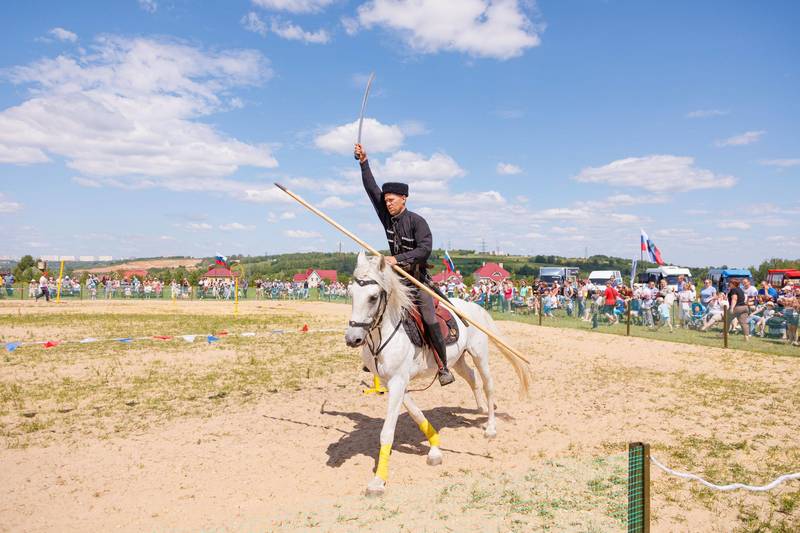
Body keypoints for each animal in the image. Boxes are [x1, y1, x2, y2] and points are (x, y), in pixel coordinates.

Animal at [344, 252, 532, 494]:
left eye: (373, 297)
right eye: (351, 294)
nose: (352, 338)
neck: (386, 333)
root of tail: (474, 307)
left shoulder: (397, 382)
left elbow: (387, 432)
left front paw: (378, 481)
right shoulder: (392, 382)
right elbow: (416, 414)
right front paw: (434, 448)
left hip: (480, 354)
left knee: (488, 384)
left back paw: (490, 427)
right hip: (457, 360)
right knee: (472, 378)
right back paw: (479, 408)